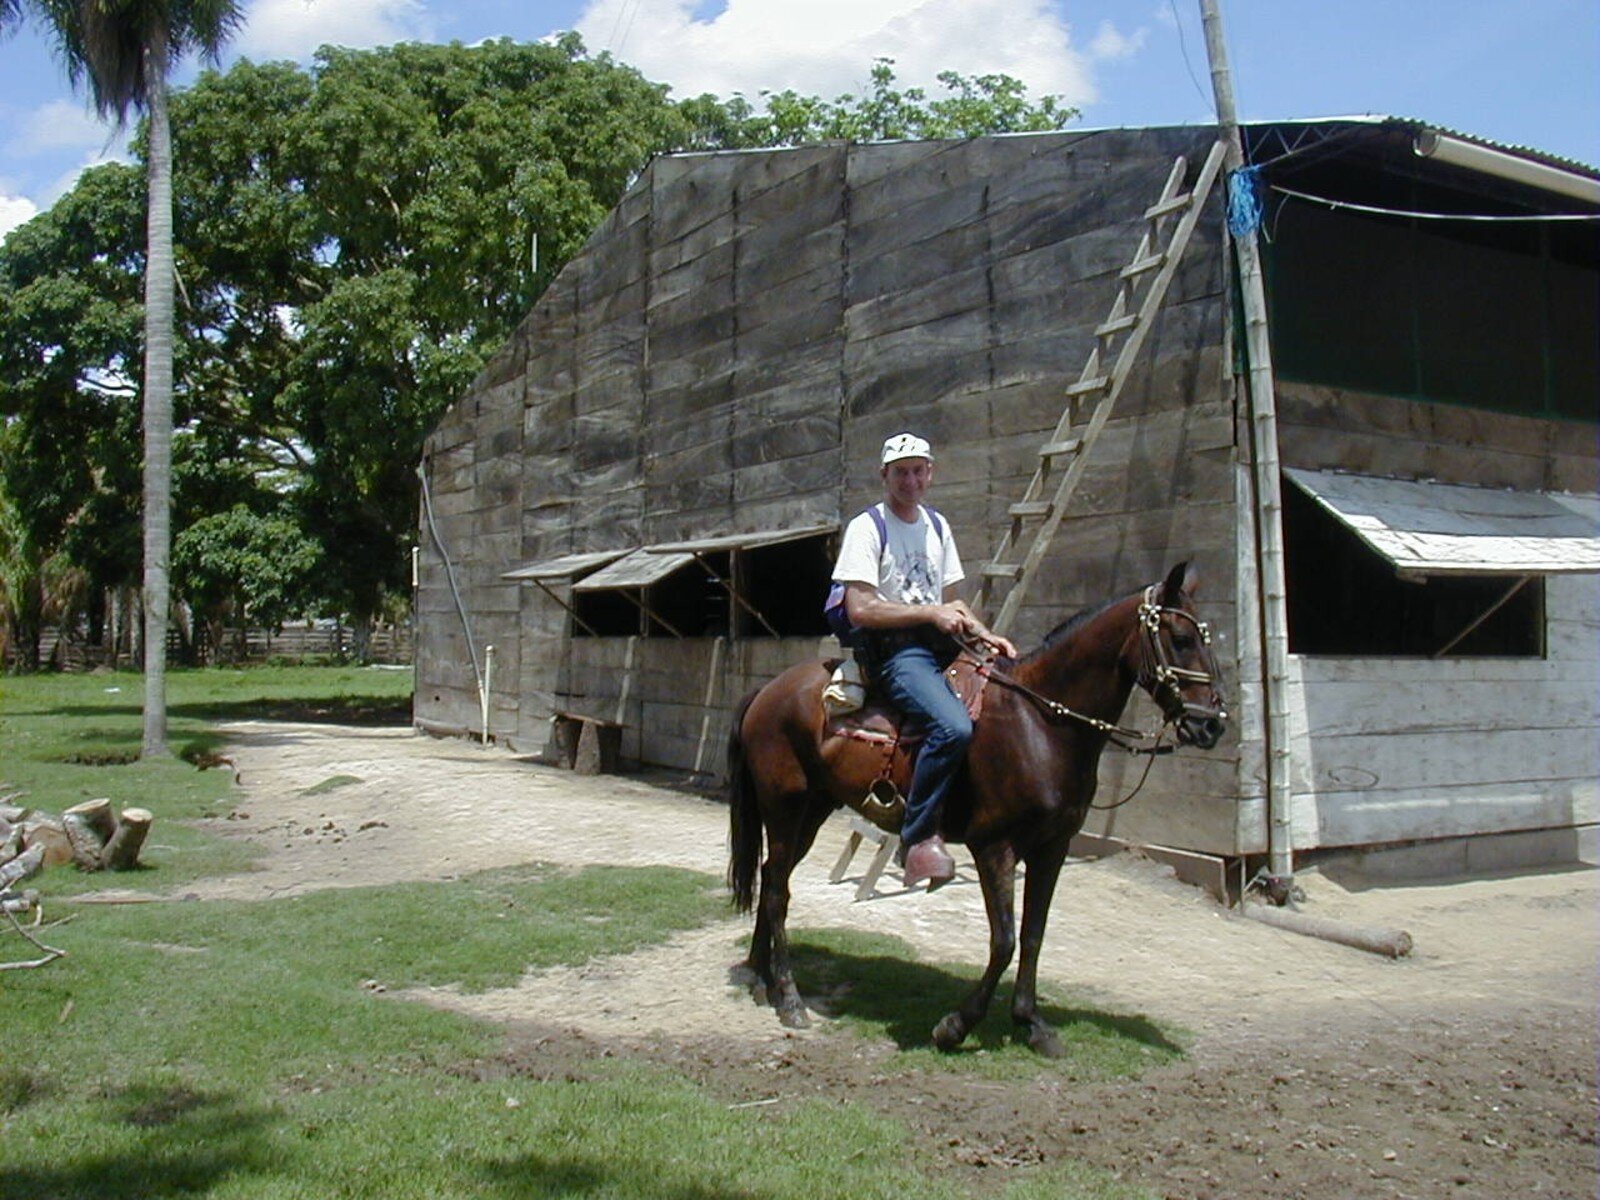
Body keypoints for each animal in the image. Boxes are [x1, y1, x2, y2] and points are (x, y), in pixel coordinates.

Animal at [732, 563, 1228, 1049]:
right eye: (1180, 639)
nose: (1213, 725)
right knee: (776, 892)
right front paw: (956, 1025)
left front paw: (1031, 1023)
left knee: (772, 877)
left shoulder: (1053, 848)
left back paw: (760, 977)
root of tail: (767, 691)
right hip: (785, 806)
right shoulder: (994, 846)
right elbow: (1004, 940)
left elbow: (1033, 934)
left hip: (812, 810)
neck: (1041, 723)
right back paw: (790, 998)